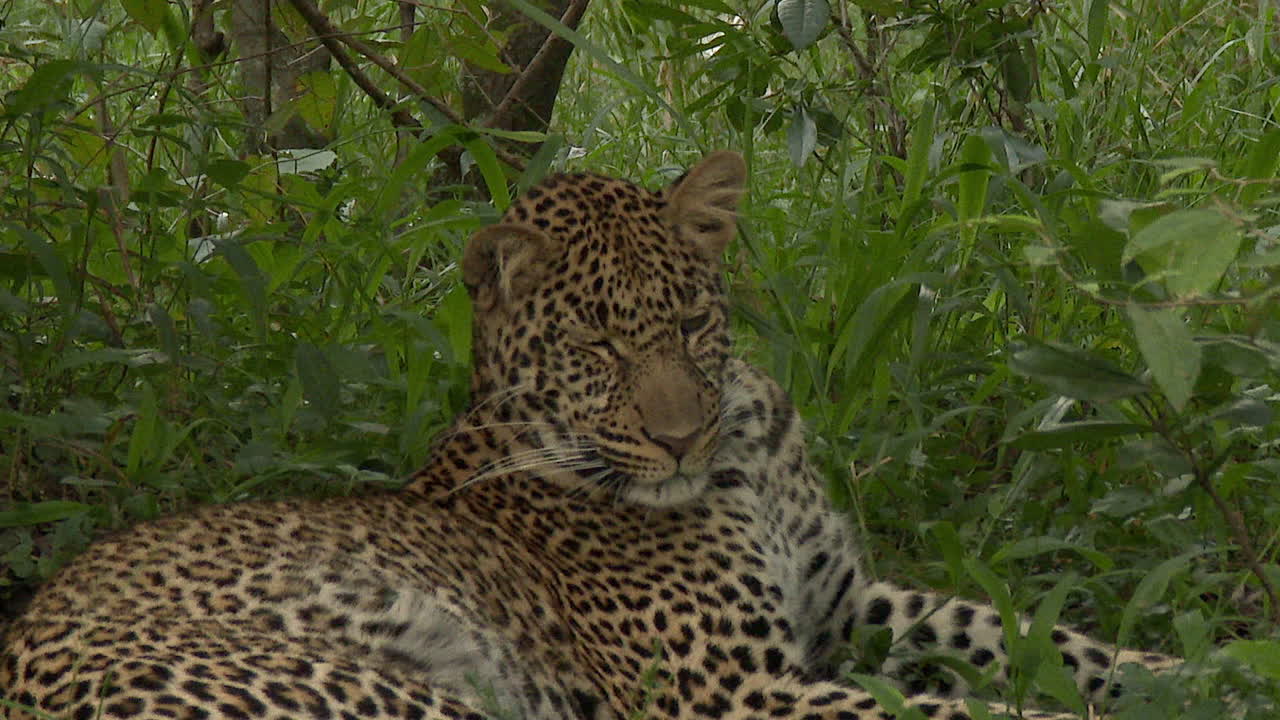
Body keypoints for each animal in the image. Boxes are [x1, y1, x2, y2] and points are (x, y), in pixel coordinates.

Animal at [1, 151, 1180, 720]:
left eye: (692, 322)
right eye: (597, 346)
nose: (680, 441)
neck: (747, 456)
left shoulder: (846, 605)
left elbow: (1039, 642)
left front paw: (1176, 671)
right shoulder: (732, 692)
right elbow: (966, 715)